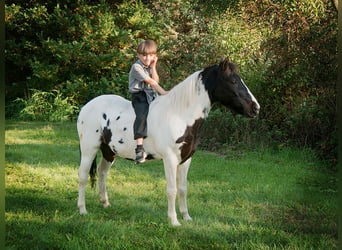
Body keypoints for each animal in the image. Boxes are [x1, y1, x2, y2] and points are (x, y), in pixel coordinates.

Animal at [77, 57, 260, 226]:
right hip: (89, 149)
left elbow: (183, 188)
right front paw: (174, 221)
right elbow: (172, 190)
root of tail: (86, 107)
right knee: (83, 175)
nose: (255, 108)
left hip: (109, 151)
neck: (179, 115)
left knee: (102, 173)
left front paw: (186, 217)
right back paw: (82, 210)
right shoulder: (170, 159)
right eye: (233, 80)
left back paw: (105, 203)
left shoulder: (186, 159)